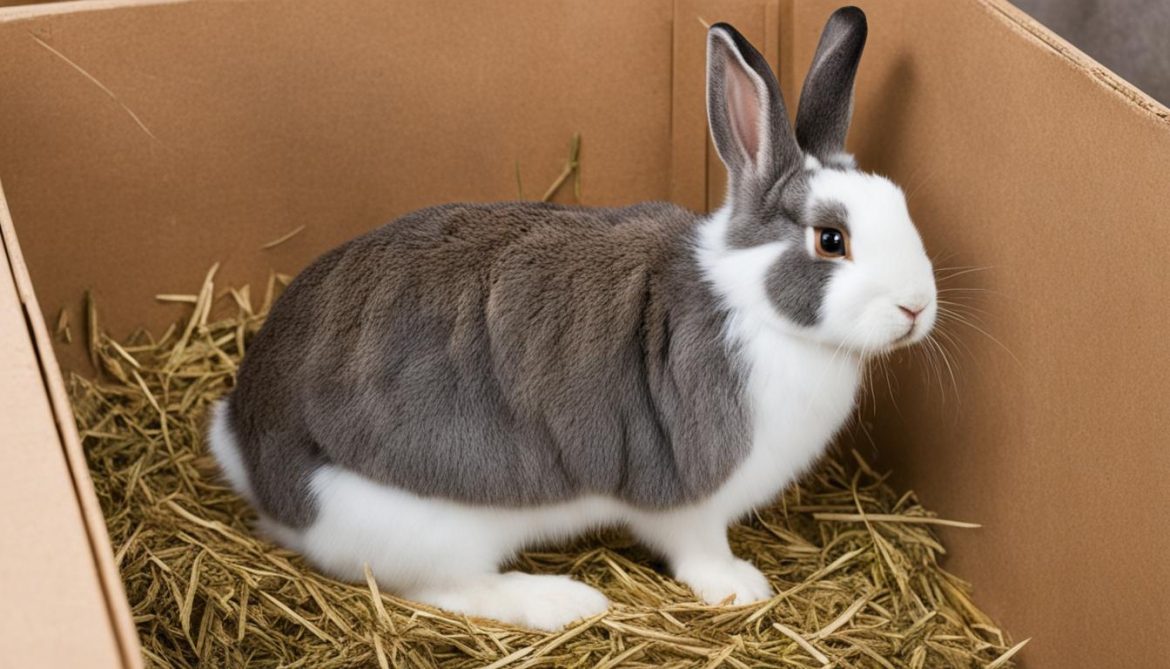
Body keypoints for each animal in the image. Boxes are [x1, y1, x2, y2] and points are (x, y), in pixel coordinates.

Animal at [208, 6, 937, 631]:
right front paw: (740, 587)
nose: (917, 307)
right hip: (430, 524)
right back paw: (563, 601)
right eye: (831, 240)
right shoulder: (688, 499)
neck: (752, 306)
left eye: (901, 203)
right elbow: (698, 548)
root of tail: (249, 448)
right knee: (446, 588)